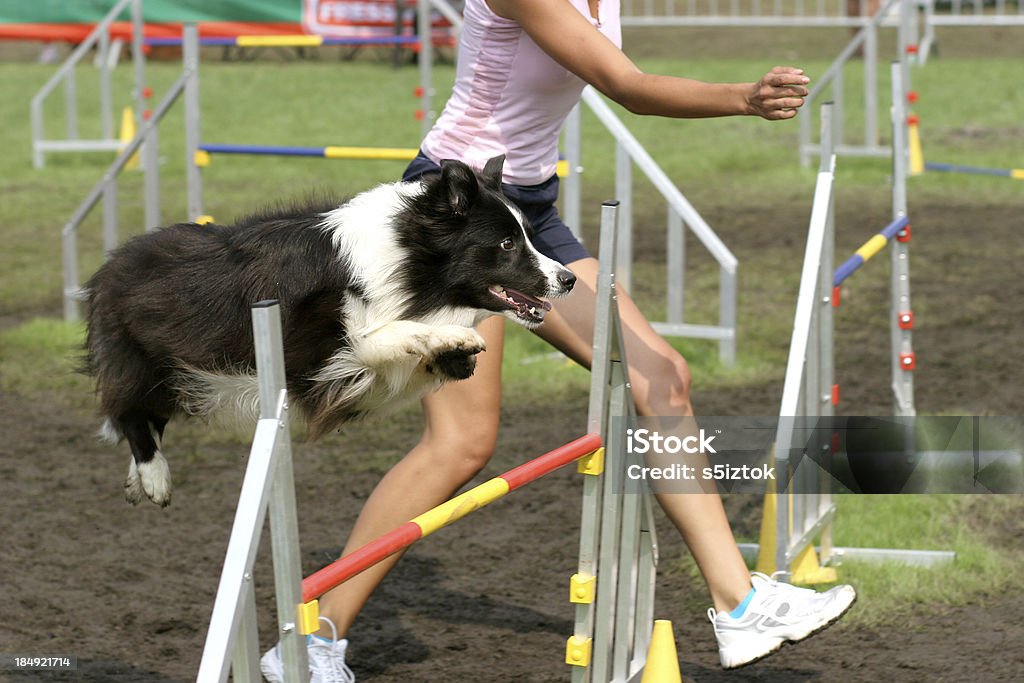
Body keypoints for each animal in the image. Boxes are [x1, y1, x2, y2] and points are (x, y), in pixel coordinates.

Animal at [83, 154, 577, 507]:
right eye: (507, 245)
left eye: (530, 235)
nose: (568, 279)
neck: (406, 256)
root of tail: (108, 267)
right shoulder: (326, 355)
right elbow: (386, 333)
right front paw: (457, 338)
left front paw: (453, 351)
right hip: (146, 357)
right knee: (130, 410)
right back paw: (154, 478)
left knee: (146, 414)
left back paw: (137, 480)